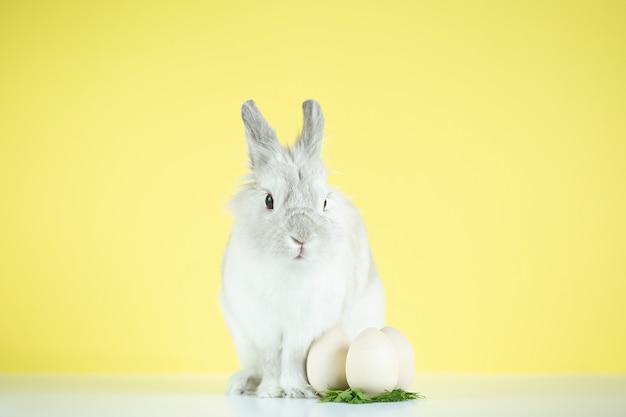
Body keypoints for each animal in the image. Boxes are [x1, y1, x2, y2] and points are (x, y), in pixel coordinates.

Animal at [219, 100, 386, 396]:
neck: (290, 270)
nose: (302, 237)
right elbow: (271, 359)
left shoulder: (306, 328)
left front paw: (295, 390)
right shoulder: (261, 326)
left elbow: (292, 357)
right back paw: (243, 383)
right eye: (269, 200)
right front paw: (270, 391)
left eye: (324, 203)